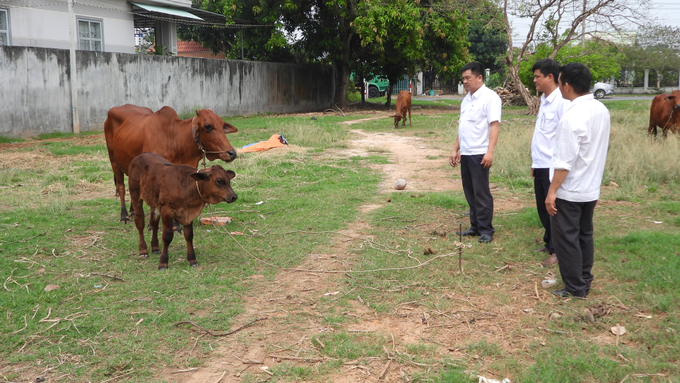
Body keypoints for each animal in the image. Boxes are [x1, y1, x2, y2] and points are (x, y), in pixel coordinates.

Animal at [102, 106, 238, 224]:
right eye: (208, 126)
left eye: (222, 125)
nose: (232, 153)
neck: (173, 138)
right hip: (114, 161)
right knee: (121, 187)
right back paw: (124, 215)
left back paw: (133, 210)